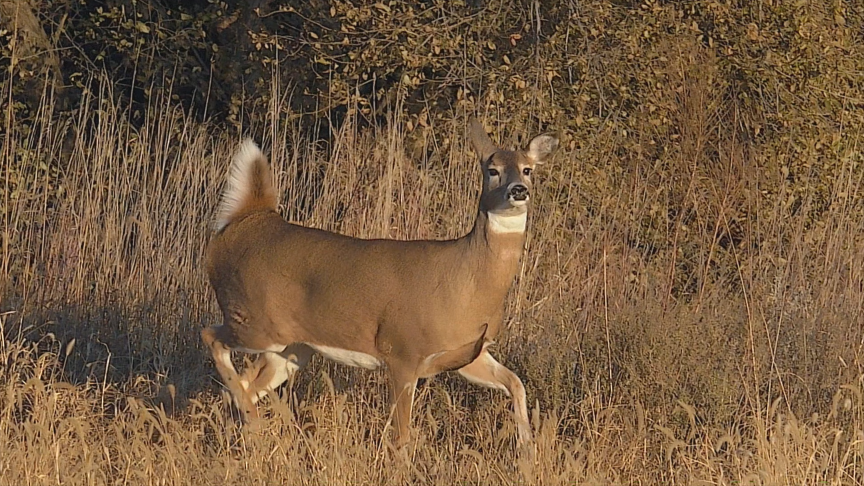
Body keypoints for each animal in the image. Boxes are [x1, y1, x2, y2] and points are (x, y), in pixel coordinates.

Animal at [201, 119, 558, 449]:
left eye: (528, 169)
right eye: (492, 170)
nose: (518, 190)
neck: (468, 285)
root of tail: (247, 221)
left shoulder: (468, 354)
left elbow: (516, 382)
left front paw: (528, 449)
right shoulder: (401, 351)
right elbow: (401, 436)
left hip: (292, 347)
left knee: (247, 383)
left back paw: (247, 429)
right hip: (254, 320)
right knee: (211, 337)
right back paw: (252, 422)